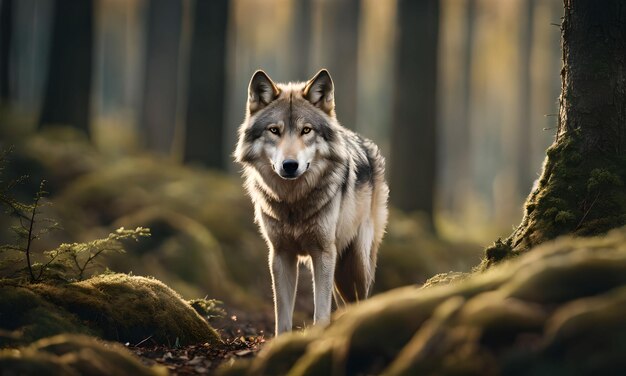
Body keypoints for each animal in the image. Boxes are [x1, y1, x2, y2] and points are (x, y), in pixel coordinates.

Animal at [234, 68, 388, 334]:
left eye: (306, 130)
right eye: (274, 130)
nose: (289, 165)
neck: (292, 201)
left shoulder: (323, 254)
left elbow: (321, 313)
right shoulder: (280, 255)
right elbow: (283, 317)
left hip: (356, 262)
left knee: (361, 299)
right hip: (340, 271)